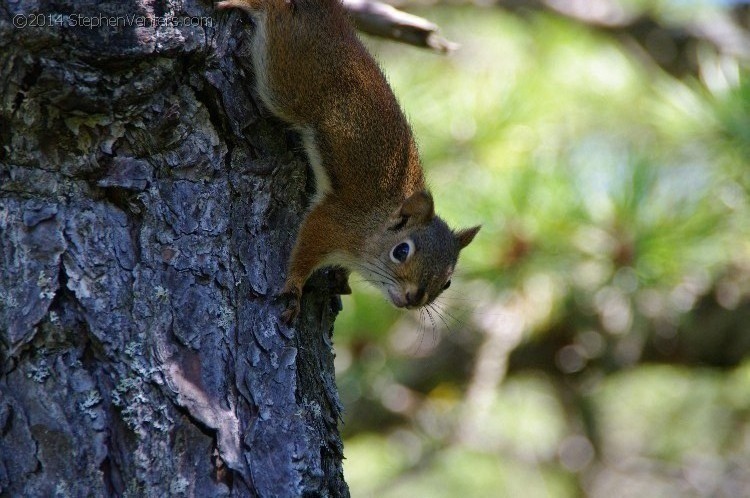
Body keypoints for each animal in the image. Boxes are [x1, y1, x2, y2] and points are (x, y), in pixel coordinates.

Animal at [216, 0, 482, 322]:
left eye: (447, 282)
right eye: (401, 252)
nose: (414, 299)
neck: (375, 225)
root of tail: (335, 23)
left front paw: (341, 278)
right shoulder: (334, 222)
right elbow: (304, 250)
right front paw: (294, 288)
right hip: (286, 77)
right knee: (277, 17)